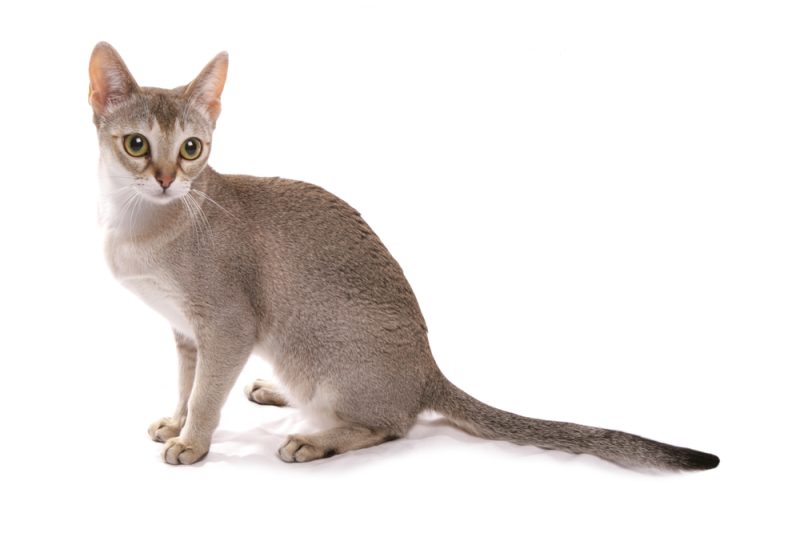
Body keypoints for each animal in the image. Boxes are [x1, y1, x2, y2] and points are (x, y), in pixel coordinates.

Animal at [89, 40, 720, 470]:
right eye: (137, 145)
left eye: (192, 149)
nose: (167, 178)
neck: (140, 225)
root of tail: (427, 369)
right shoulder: (187, 333)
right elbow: (187, 384)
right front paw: (176, 421)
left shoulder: (227, 324)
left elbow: (206, 394)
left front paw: (192, 442)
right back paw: (276, 393)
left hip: (318, 350)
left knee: (391, 424)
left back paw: (314, 439)